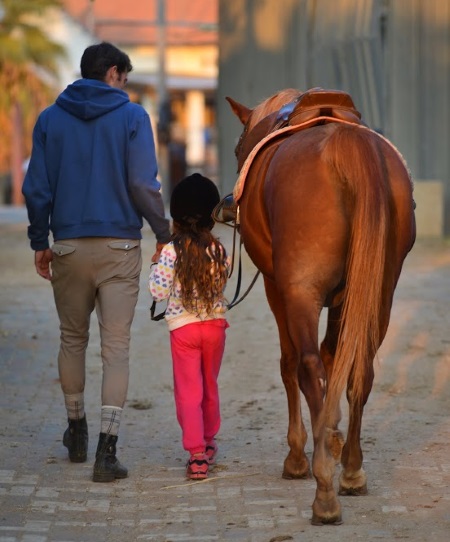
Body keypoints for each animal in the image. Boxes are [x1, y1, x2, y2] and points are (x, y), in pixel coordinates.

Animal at [227, 89, 416, 528]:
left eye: (236, 148)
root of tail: (347, 145)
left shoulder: (278, 288)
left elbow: (292, 363)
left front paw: (300, 454)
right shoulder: (346, 297)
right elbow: (336, 359)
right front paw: (331, 435)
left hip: (301, 292)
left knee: (307, 366)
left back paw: (324, 489)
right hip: (380, 290)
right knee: (360, 369)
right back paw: (351, 470)